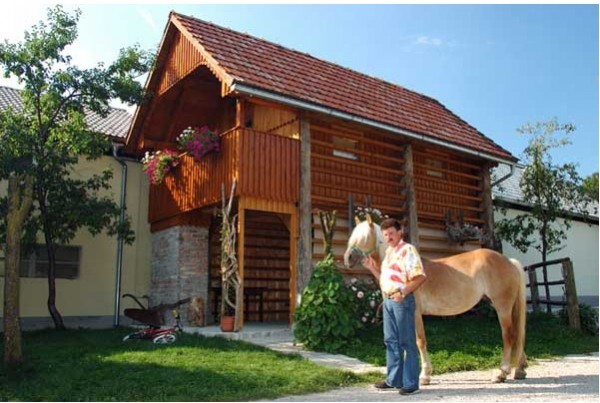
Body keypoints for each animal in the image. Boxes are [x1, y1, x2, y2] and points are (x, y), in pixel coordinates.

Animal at [344, 221, 528, 386]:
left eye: (365, 236)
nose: (348, 258)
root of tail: (509, 261)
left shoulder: (415, 314)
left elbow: (419, 341)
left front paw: (424, 376)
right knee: (517, 335)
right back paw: (520, 369)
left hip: (502, 308)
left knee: (509, 336)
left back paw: (501, 373)